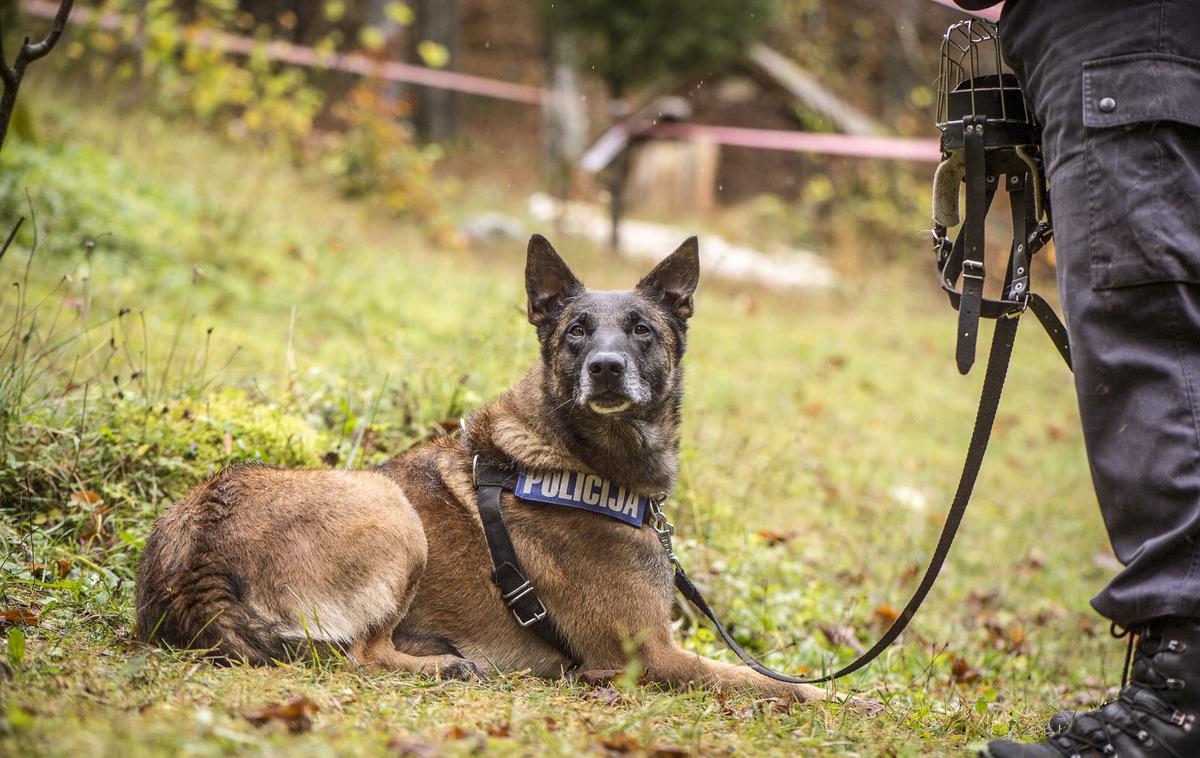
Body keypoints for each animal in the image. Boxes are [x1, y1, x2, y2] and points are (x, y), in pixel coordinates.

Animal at [133, 237, 835, 705]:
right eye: (577, 331)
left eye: (642, 330)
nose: (605, 368)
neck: (575, 456)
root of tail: (195, 552)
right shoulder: (646, 655)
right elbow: (762, 679)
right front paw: (843, 700)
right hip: (390, 509)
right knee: (357, 656)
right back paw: (444, 665)